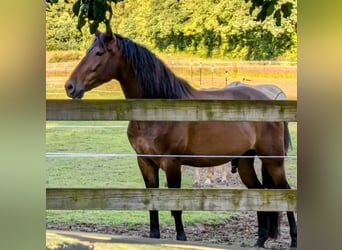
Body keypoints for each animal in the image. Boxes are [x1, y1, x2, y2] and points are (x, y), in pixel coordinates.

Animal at [64, 29, 296, 248]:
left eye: (99, 53)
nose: (70, 86)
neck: (157, 112)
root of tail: (270, 99)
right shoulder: (145, 162)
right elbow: (152, 204)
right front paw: (154, 237)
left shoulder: (172, 163)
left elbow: (175, 207)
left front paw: (181, 239)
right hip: (246, 162)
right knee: (261, 193)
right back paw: (260, 241)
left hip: (273, 161)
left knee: (285, 191)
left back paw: (293, 240)